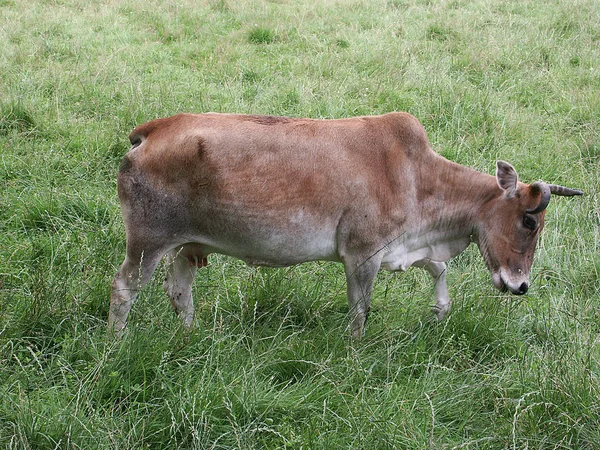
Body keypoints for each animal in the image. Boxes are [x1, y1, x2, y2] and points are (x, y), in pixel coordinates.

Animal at [108, 111, 580, 338]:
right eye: (528, 221)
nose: (521, 286)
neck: (419, 176)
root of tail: (156, 128)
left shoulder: (407, 247)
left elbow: (439, 270)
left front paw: (439, 311)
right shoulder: (362, 254)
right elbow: (360, 311)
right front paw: (356, 352)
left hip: (188, 245)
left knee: (179, 289)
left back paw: (191, 334)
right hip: (148, 242)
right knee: (123, 287)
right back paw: (116, 343)